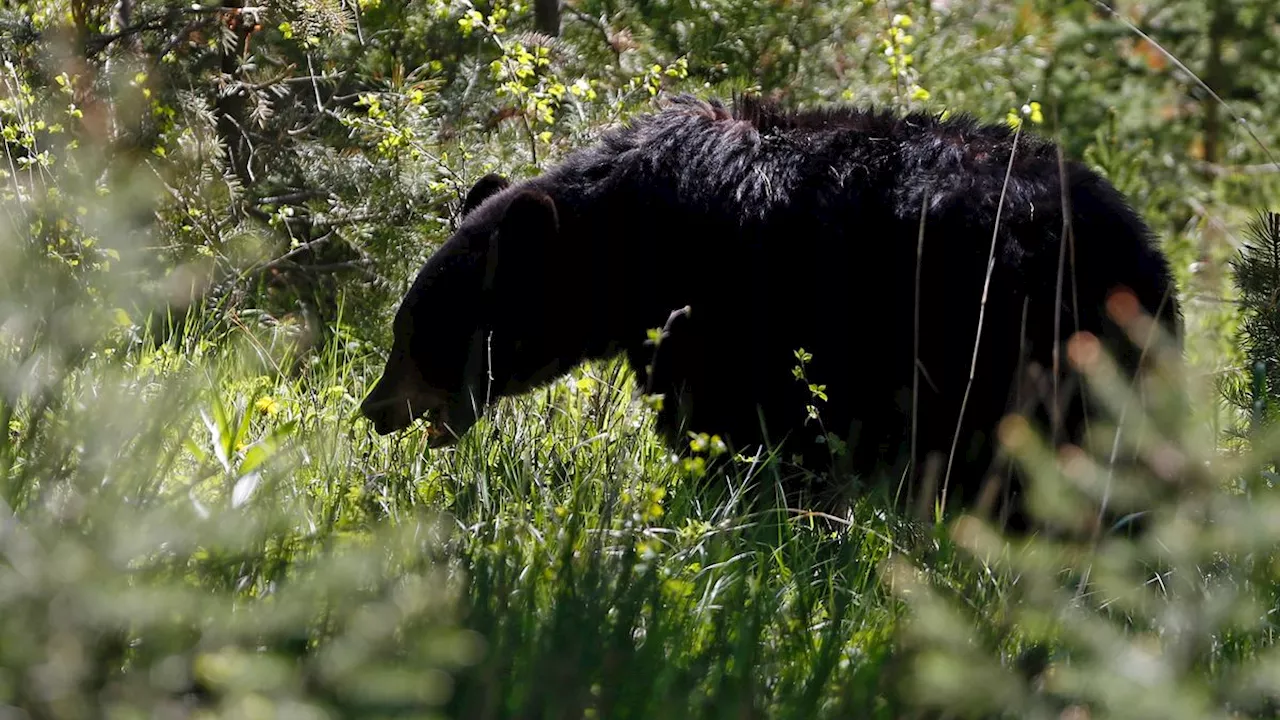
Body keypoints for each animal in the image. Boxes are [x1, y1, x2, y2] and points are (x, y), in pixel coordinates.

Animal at [358, 94, 1177, 532]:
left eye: (419, 331)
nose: (375, 409)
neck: (633, 237)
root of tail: (1141, 257)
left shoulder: (739, 315)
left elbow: (739, 425)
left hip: (1016, 349)